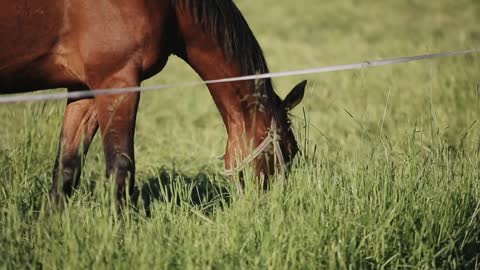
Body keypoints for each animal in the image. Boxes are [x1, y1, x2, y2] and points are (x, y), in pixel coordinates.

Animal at [0, 0, 306, 202]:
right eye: (289, 151)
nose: (274, 206)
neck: (168, 7)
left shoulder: (84, 89)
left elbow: (66, 169)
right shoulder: (118, 82)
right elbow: (120, 170)